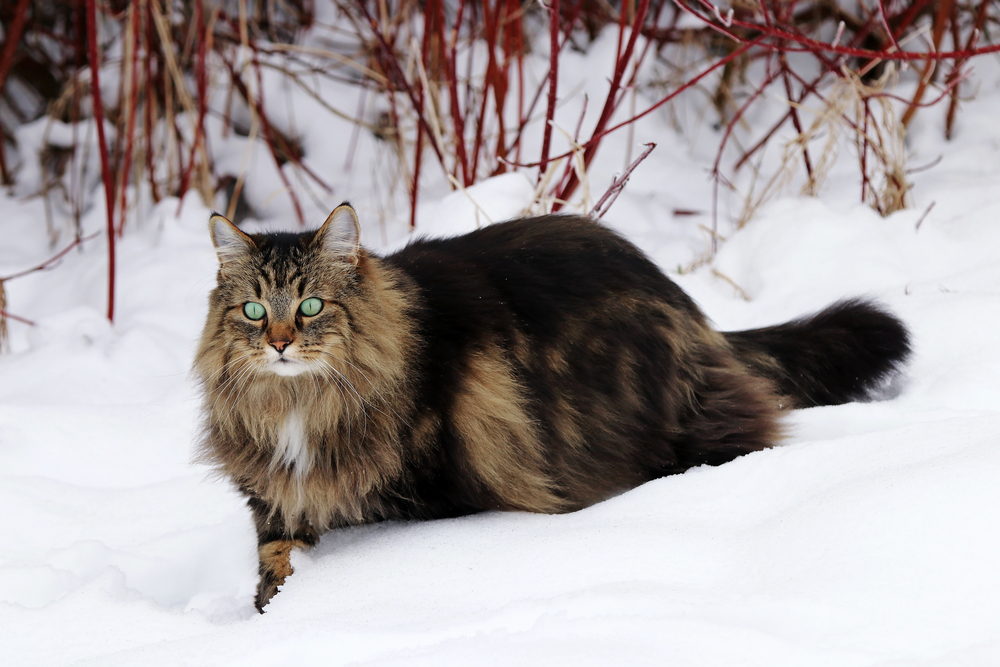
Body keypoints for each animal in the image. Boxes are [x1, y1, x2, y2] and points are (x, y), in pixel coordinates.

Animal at [191, 202, 912, 612]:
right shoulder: (278, 501)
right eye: (253, 310)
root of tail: (689, 307)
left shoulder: (425, 492)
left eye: (311, 304)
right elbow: (276, 563)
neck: (298, 402)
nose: (279, 342)